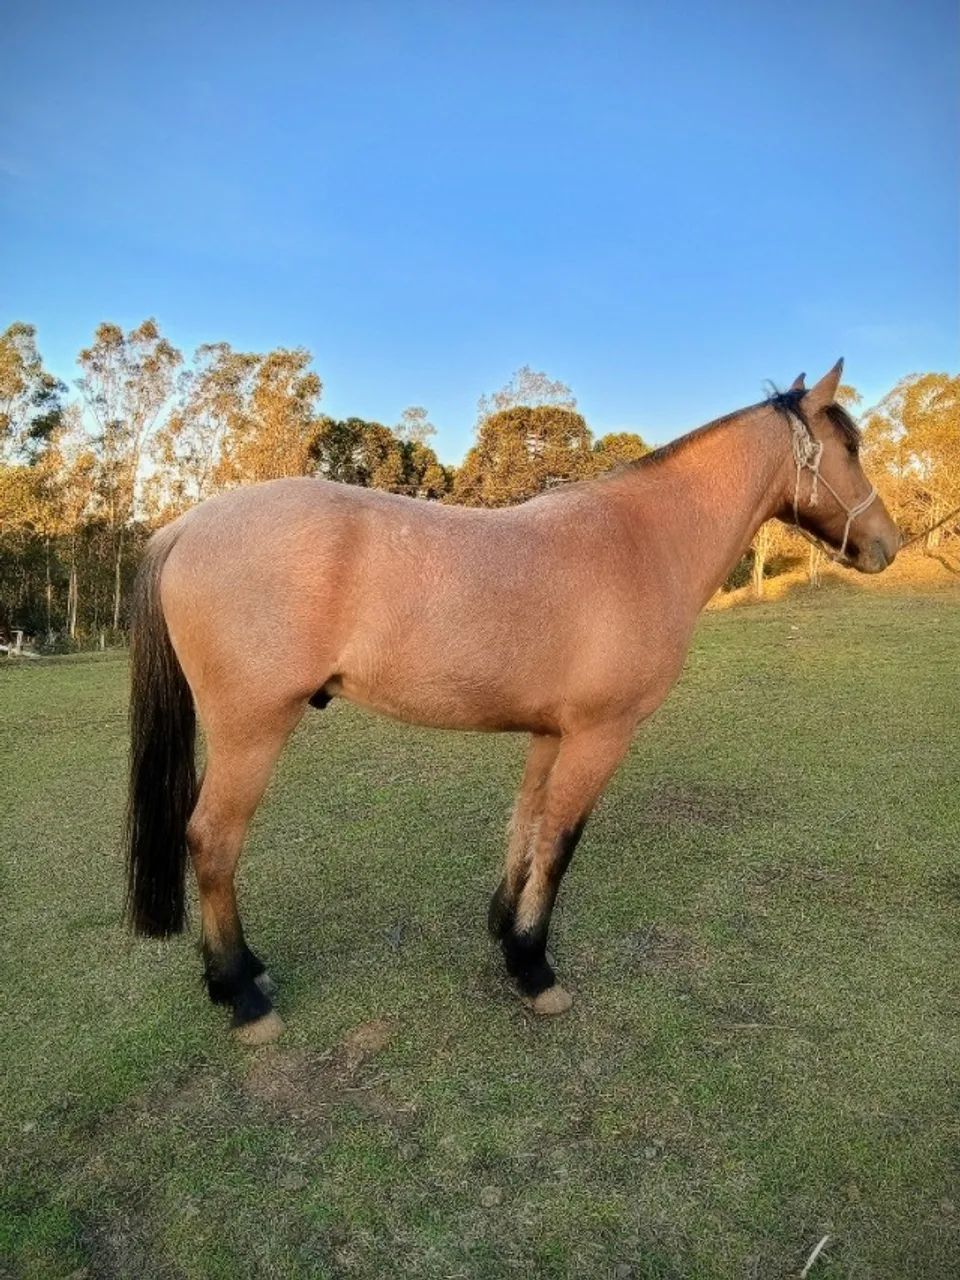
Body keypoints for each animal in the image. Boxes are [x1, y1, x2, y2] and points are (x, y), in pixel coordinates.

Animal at [125, 360, 900, 1044]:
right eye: (851, 447)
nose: (888, 545)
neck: (642, 541)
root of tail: (186, 526)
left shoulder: (551, 734)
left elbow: (525, 827)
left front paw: (504, 932)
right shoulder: (600, 735)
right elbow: (560, 842)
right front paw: (533, 968)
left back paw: (246, 972)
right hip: (251, 733)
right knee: (212, 842)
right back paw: (242, 995)